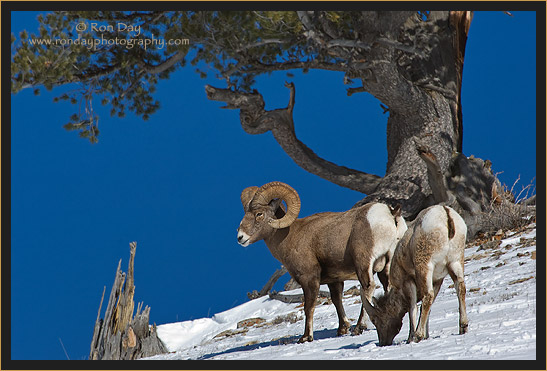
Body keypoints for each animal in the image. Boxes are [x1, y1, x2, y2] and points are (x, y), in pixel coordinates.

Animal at [235, 182, 406, 344]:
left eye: (259, 214)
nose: (240, 237)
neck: (289, 236)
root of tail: (391, 214)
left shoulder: (309, 278)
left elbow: (309, 306)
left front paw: (306, 337)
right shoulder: (334, 280)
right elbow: (337, 300)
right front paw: (342, 329)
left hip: (364, 263)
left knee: (368, 288)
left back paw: (359, 327)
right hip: (387, 265)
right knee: (389, 286)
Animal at [366, 205, 468, 348]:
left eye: (376, 319)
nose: (383, 343)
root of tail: (446, 214)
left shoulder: (408, 281)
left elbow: (412, 308)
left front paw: (412, 337)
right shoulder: (438, 280)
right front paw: (426, 336)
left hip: (425, 266)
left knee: (428, 296)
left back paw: (418, 335)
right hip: (456, 262)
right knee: (461, 288)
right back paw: (463, 327)